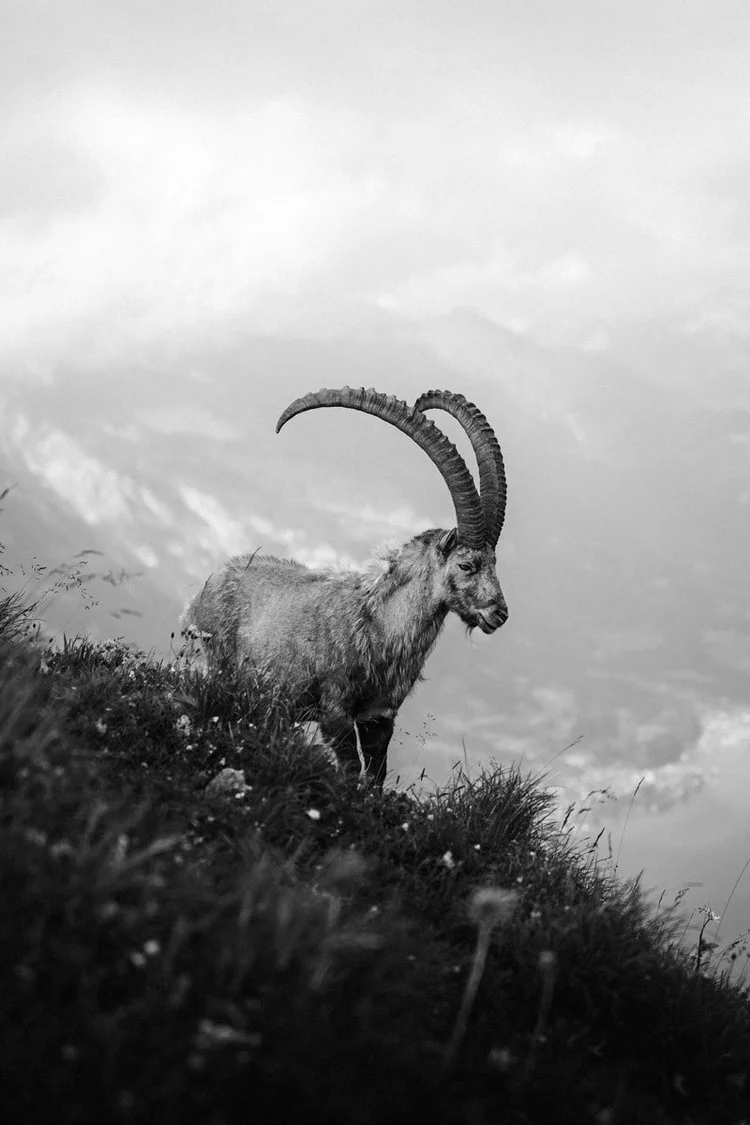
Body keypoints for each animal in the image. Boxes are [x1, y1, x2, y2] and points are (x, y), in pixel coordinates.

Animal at [181, 387, 509, 787]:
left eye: (495, 564)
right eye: (466, 564)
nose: (499, 613)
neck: (379, 626)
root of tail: (207, 587)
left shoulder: (379, 718)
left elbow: (375, 778)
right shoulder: (335, 712)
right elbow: (351, 771)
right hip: (214, 667)